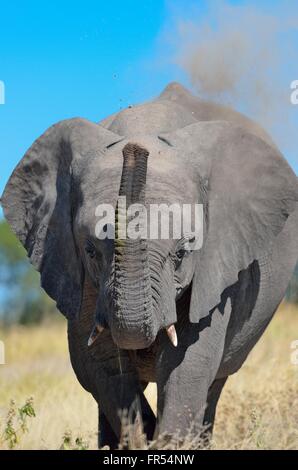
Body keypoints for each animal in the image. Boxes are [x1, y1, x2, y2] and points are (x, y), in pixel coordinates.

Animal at [0, 82, 298, 450]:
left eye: (182, 253)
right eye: (90, 251)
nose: (135, 152)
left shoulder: (218, 269)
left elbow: (189, 363)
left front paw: (164, 440)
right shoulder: (75, 270)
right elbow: (101, 366)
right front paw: (143, 435)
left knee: (213, 384)